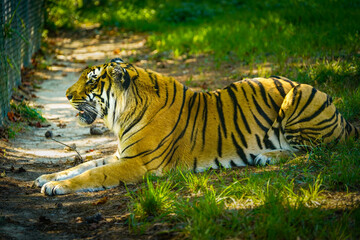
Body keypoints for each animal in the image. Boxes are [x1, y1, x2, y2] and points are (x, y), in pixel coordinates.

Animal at [34, 57, 360, 195]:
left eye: (91, 80)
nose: (66, 95)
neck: (124, 112)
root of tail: (343, 117)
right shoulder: (121, 155)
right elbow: (84, 165)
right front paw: (47, 177)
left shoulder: (138, 162)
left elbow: (93, 174)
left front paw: (56, 186)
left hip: (298, 98)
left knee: (317, 151)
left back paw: (268, 156)